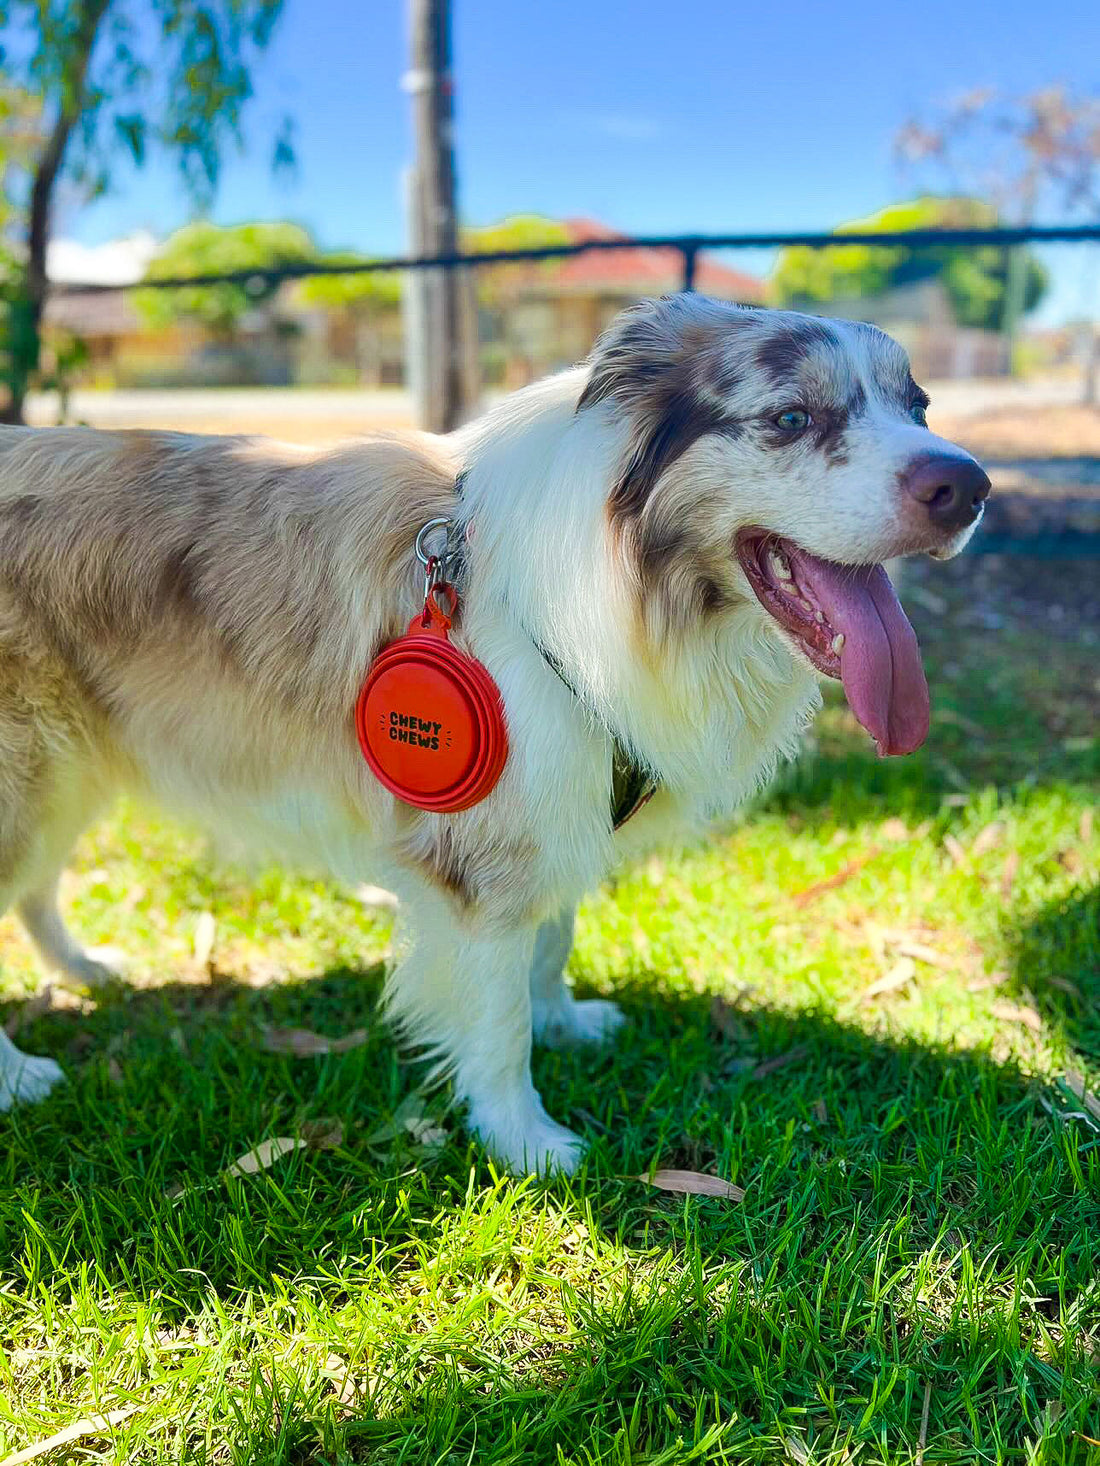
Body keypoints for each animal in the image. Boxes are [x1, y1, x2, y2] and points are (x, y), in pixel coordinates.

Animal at [0, 294, 991, 1166]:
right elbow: (499, 1017)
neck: (617, 585)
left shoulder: (560, 799)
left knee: (34, 890)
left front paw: (565, 1019)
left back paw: (85, 968)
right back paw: (18, 1077)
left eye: (919, 406)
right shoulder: (480, 857)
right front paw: (526, 1142)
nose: (968, 486)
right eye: (790, 416)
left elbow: (553, 936)